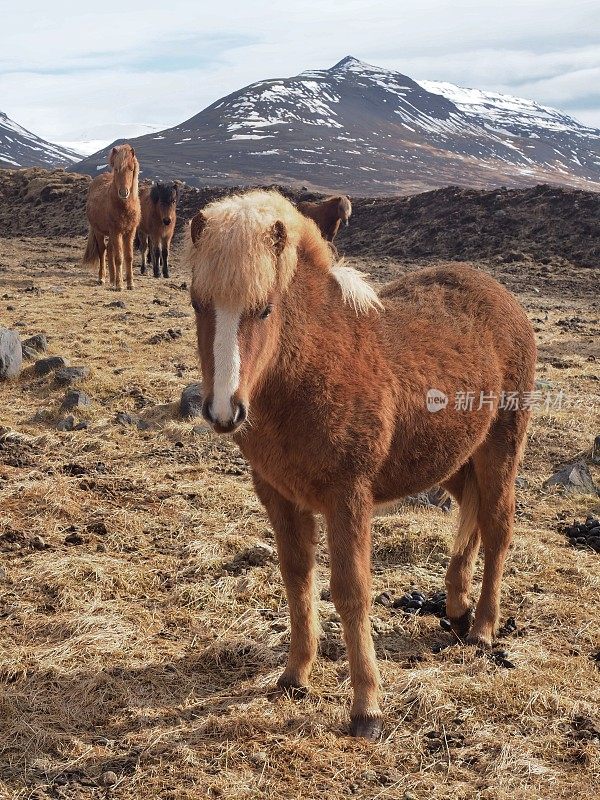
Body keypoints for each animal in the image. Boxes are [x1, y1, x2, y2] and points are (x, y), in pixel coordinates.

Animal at [82, 144, 141, 290]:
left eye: (131, 168)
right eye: (116, 169)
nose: (124, 192)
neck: (124, 208)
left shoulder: (130, 232)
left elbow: (128, 257)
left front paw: (130, 284)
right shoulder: (116, 231)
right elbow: (119, 258)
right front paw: (119, 285)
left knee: (109, 250)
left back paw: (112, 279)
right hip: (99, 231)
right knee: (102, 251)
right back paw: (102, 278)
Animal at [185, 191, 536, 740]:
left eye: (264, 309)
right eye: (198, 304)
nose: (224, 412)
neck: (312, 369)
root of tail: (503, 297)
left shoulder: (347, 496)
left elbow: (351, 591)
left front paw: (366, 708)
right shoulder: (278, 495)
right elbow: (297, 578)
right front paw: (295, 675)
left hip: (500, 449)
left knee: (498, 528)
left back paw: (481, 629)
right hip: (453, 461)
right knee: (473, 518)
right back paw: (457, 610)